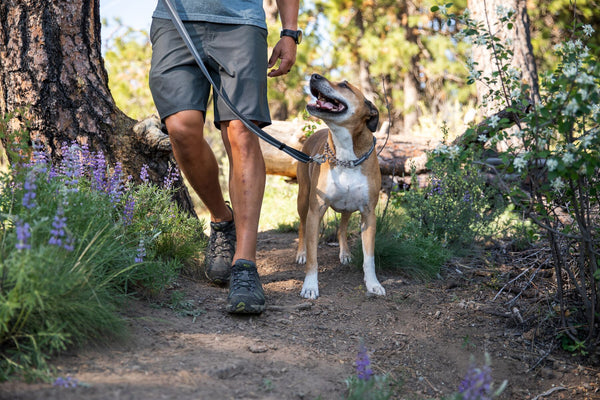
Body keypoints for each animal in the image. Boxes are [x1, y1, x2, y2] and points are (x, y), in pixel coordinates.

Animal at [294, 73, 384, 300]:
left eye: (344, 85)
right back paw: (300, 253)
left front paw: (373, 284)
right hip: (303, 198)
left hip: (348, 207)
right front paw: (310, 285)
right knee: (301, 226)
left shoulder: (368, 214)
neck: (346, 155)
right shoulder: (315, 211)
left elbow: (369, 258)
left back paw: (344, 253)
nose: (314, 75)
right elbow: (313, 257)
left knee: (342, 228)